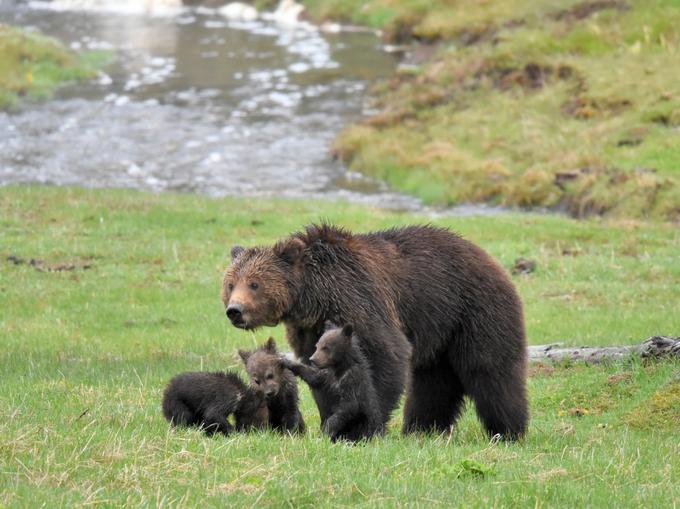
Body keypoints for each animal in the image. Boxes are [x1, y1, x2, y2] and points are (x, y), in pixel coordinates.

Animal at [220, 224, 528, 438]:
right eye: (231, 283)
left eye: (255, 283)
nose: (235, 310)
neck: (313, 296)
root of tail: (490, 259)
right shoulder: (309, 330)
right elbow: (320, 373)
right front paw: (331, 420)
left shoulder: (357, 299)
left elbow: (385, 355)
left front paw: (363, 428)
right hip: (440, 331)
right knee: (433, 382)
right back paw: (422, 428)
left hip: (474, 310)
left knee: (490, 371)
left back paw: (508, 430)